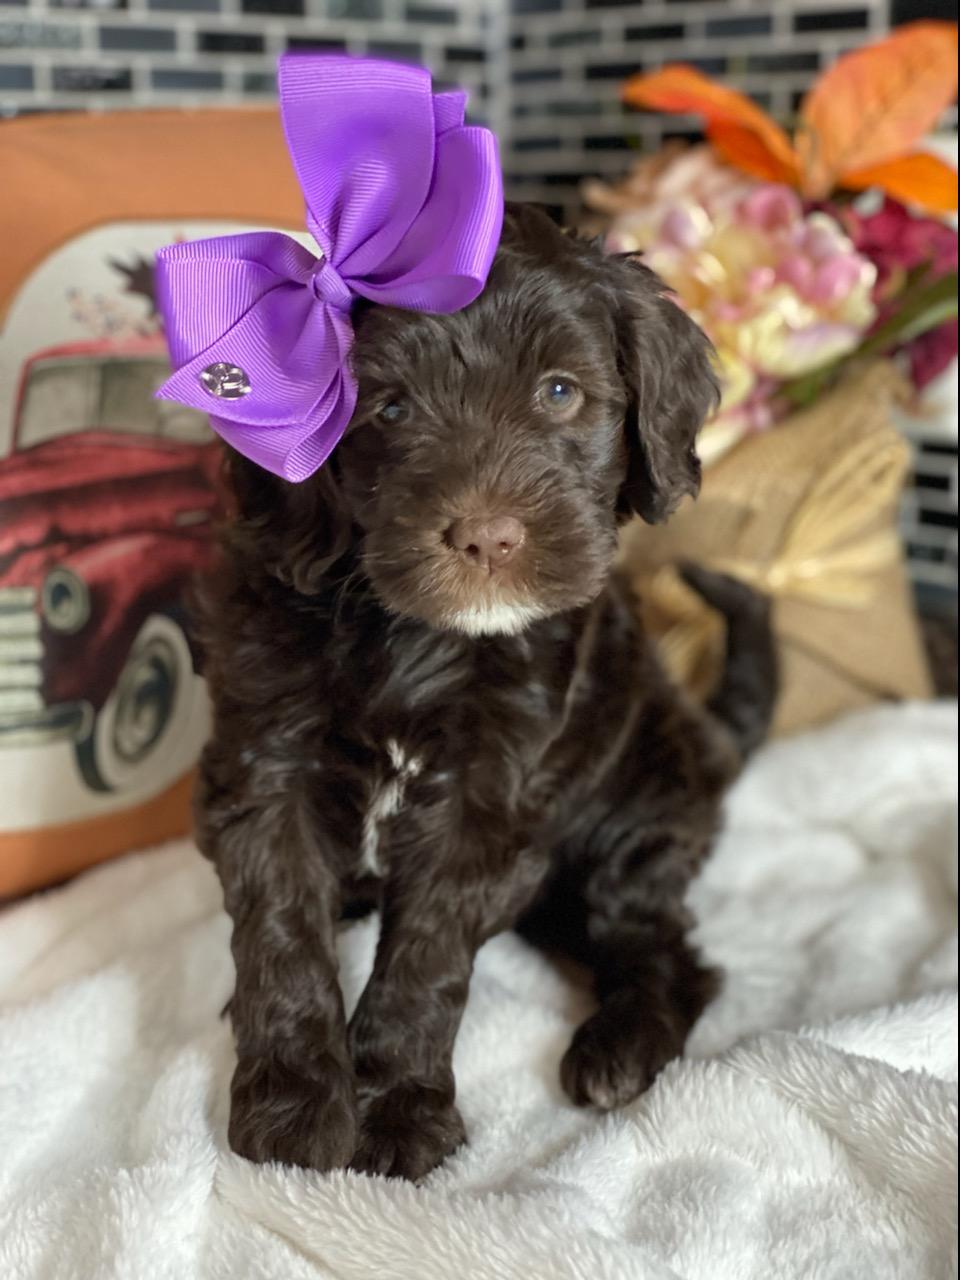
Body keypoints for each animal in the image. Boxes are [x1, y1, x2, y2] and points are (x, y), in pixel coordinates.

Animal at [195, 202, 778, 1182]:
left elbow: (427, 952)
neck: (415, 634)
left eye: (560, 393)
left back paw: (619, 1048)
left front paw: (396, 1110)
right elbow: (280, 924)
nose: (488, 537)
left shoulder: (490, 788)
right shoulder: (267, 749)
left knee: (657, 941)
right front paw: (293, 1104)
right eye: (389, 408)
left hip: (638, 809)